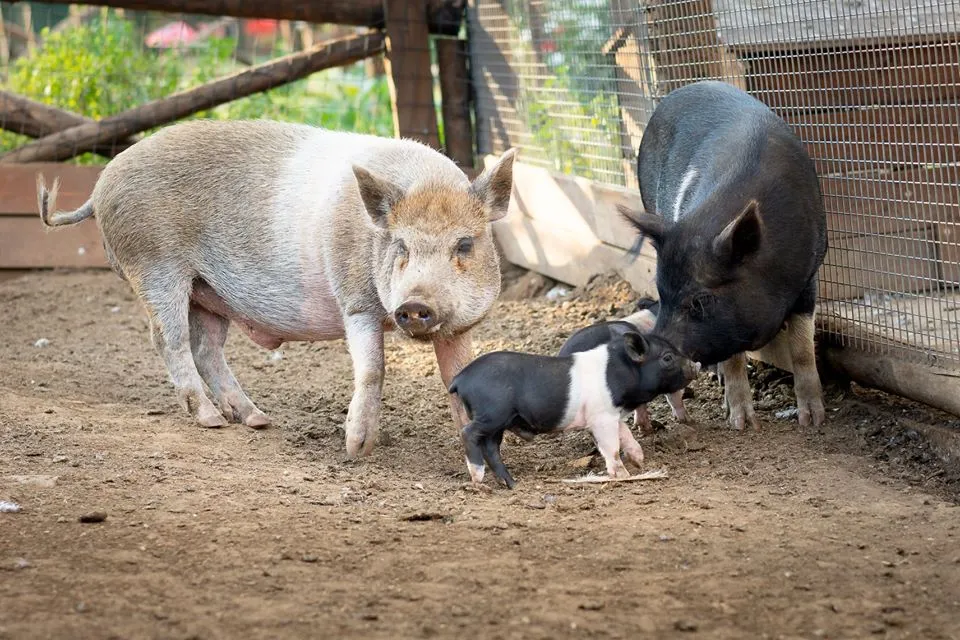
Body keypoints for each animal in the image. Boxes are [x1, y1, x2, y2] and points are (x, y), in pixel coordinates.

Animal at [39, 120, 516, 458]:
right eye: (400, 245)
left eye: (465, 244)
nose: (415, 304)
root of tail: (101, 183)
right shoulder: (355, 301)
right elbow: (373, 369)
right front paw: (355, 449)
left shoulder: (459, 325)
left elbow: (458, 375)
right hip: (155, 266)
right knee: (168, 341)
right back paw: (211, 420)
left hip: (207, 291)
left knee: (206, 348)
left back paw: (256, 420)